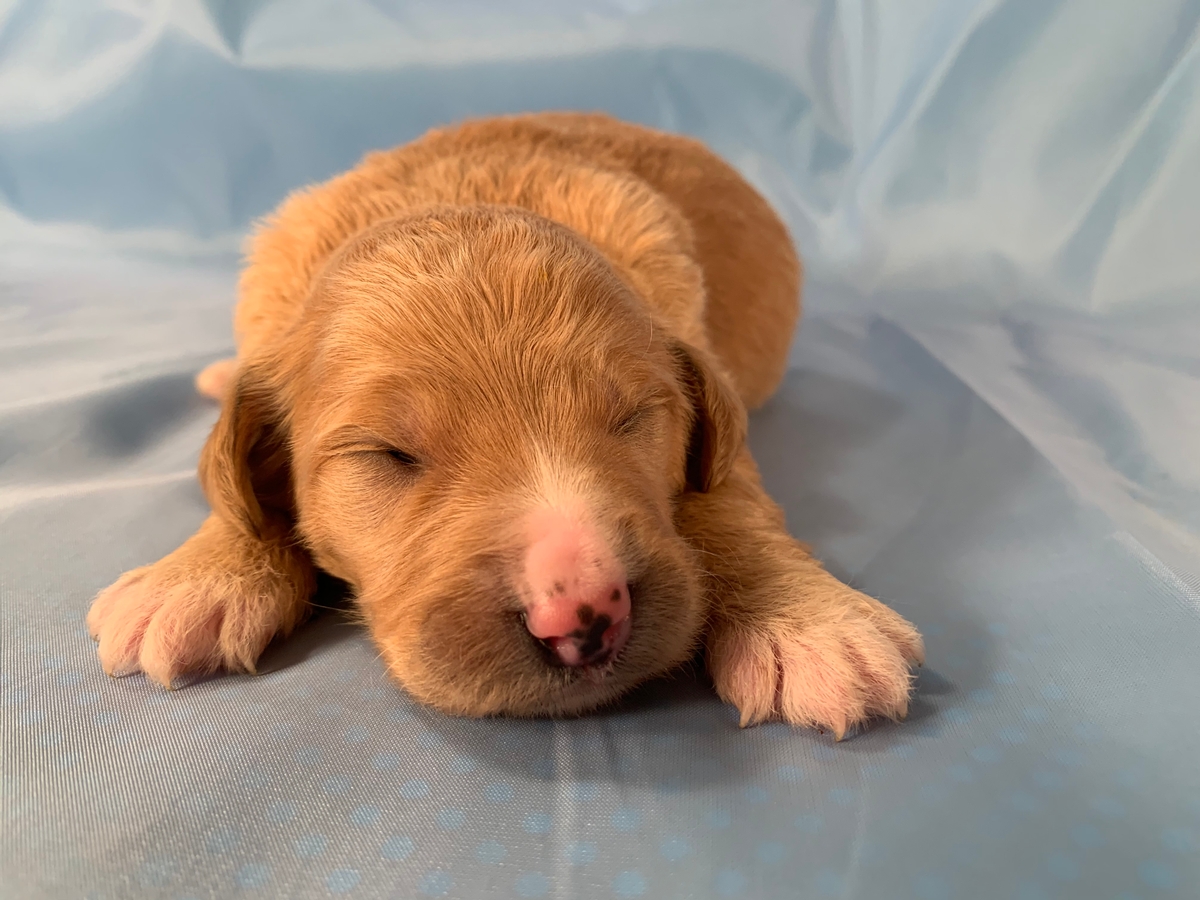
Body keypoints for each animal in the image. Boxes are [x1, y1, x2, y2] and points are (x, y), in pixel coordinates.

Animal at [88, 112, 921, 739]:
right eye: (389, 454)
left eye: (633, 418)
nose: (585, 617)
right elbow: (236, 490)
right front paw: (199, 575)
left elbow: (728, 498)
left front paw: (808, 622)